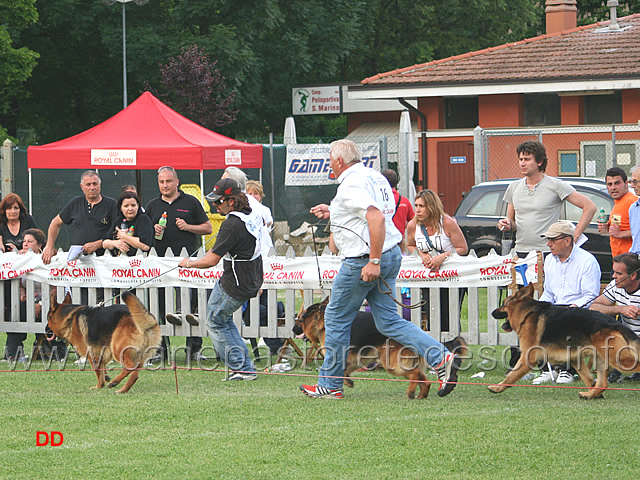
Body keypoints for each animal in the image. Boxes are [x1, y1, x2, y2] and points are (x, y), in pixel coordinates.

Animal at [292, 298, 468, 400]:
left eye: (298, 320)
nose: (293, 330)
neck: (321, 320)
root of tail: (419, 329)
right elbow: (344, 370)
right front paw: (346, 382)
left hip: (392, 363)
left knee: (416, 375)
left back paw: (412, 392)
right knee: (424, 379)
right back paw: (421, 395)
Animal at [488, 284, 640, 400]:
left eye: (503, 304)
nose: (491, 313)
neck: (527, 313)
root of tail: (614, 323)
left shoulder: (527, 358)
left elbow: (511, 376)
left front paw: (497, 388)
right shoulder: (575, 358)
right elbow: (588, 378)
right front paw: (594, 393)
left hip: (621, 360)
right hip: (602, 359)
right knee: (602, 383)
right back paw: (589, 394)